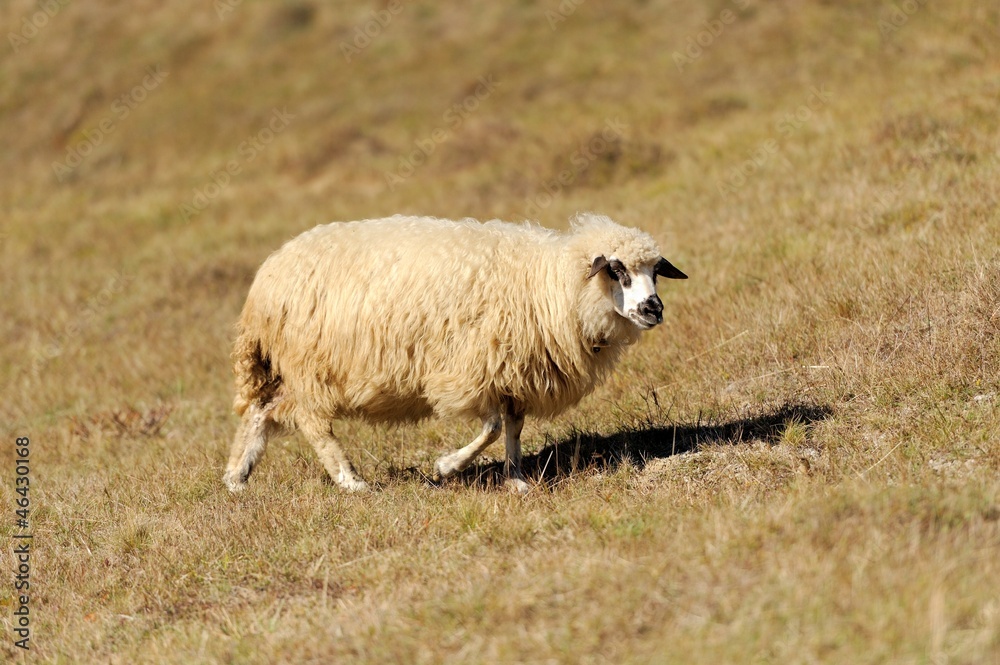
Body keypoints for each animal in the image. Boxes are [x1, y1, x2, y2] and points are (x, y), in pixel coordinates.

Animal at [222, 213, 684, 492]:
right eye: (617, 270)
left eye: (656, 271)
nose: (653, 309)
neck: (550, 285)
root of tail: (268, 274)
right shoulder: (475, 369)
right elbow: (492, 429)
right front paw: (446, 466)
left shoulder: (515, 374)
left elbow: (513, 429)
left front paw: (517, 480)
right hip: (310, 366)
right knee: (312, 423)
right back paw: (351, 482)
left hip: (285, 368)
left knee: (261, 412)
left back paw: (236, 478)